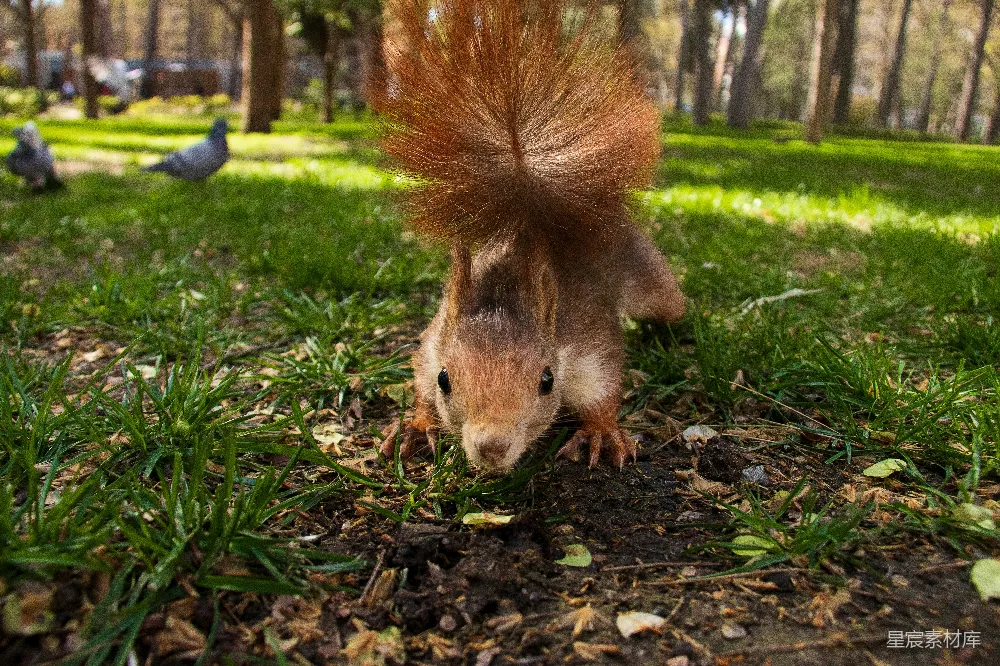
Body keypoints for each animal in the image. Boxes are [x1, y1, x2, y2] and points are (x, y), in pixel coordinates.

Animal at [373, 0, 686, 471]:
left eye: (547, 380)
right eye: (446, 379)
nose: (492, 447)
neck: (509, 287)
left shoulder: (587, 342)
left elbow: (604, 389)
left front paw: (601, 432)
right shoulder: (434, 343)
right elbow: (420, 378)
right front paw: (417, 424)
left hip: (647, 275)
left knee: (667, 305)